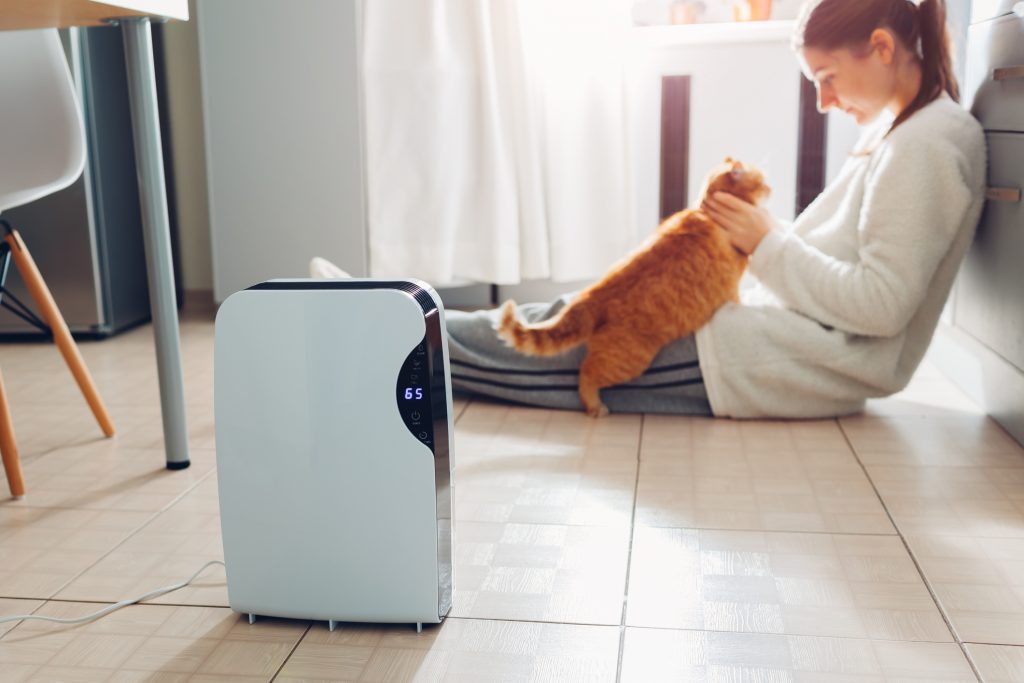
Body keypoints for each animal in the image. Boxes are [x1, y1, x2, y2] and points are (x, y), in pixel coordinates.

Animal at [495, 158, 770, 417]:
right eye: (762, 180)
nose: (772, 188)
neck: (706, 213)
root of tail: (592, 295)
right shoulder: (732, 290)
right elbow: (738, 300)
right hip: (630, 360)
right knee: (586, 372)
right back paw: (595, 407)